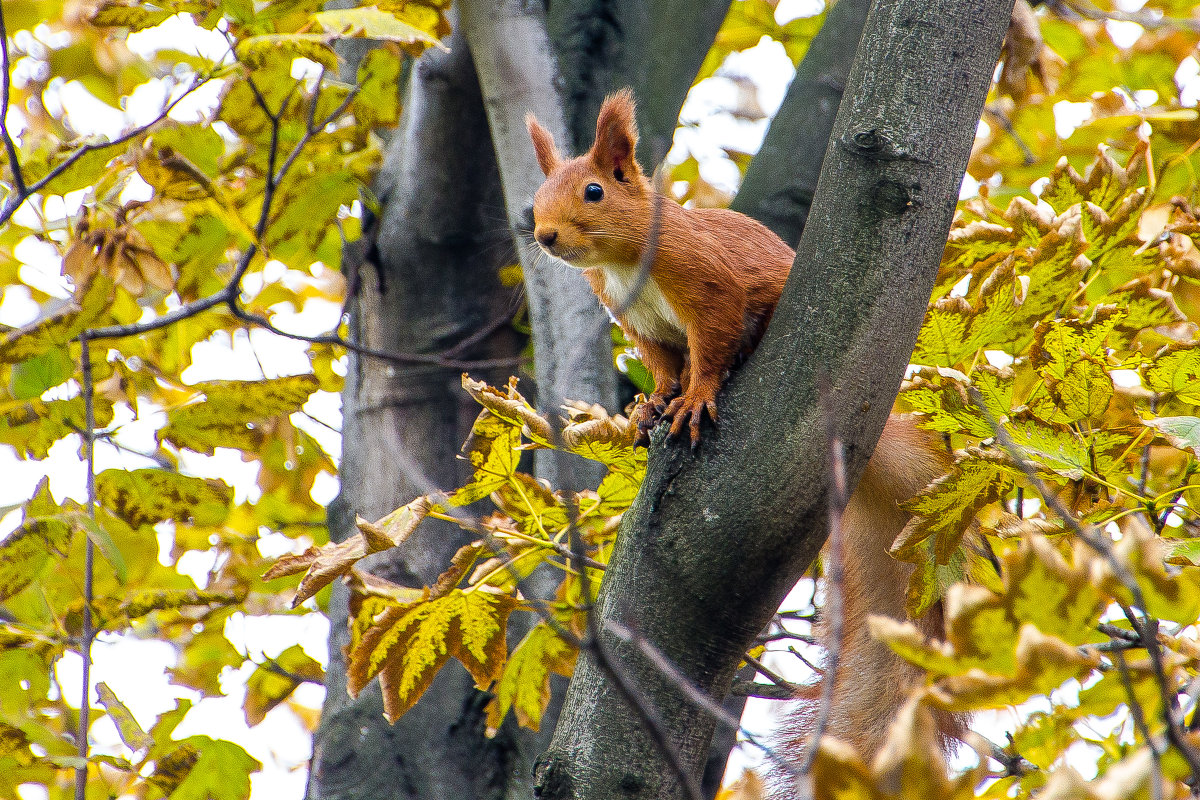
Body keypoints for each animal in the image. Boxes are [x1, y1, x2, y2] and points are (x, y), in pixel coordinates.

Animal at [525, 90, 955, 762]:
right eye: (536, 196)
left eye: (594, 191)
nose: (544, 235)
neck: (623, 264)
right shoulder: (642, 326)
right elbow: (663, 366)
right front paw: (653, 403)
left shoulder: (709, 284)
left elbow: (713, 344)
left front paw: (695, 397)